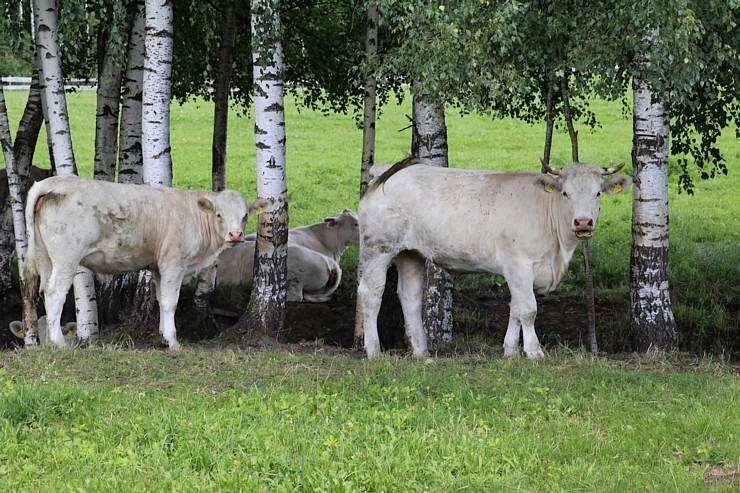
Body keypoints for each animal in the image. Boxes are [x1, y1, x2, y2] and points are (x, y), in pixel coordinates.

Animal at [22, 175, 266, 348]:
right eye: (219, 215)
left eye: (245, 215)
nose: (235, 234)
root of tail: (55, 182)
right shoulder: (173, 264)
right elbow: (170, 302)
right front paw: (173, 342)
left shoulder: (158, 267)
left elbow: (160, 299)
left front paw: (164, 337)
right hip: (66, 259)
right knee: (55, 292)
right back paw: (58, 342)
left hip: (45, 258)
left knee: (44, 291)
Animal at [356, 157, 632, 358]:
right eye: (565, 193)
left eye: (598, 193)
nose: (583, 222)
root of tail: (386, 171)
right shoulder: (518, 264)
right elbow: (528, 309)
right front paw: (534, 352)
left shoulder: (518, 270)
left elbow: (515, 308)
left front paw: (510, 351)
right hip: (378, 248)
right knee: (371, 293)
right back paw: (374, 351)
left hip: (410, 253)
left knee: (410, 297)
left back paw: (422, 353)